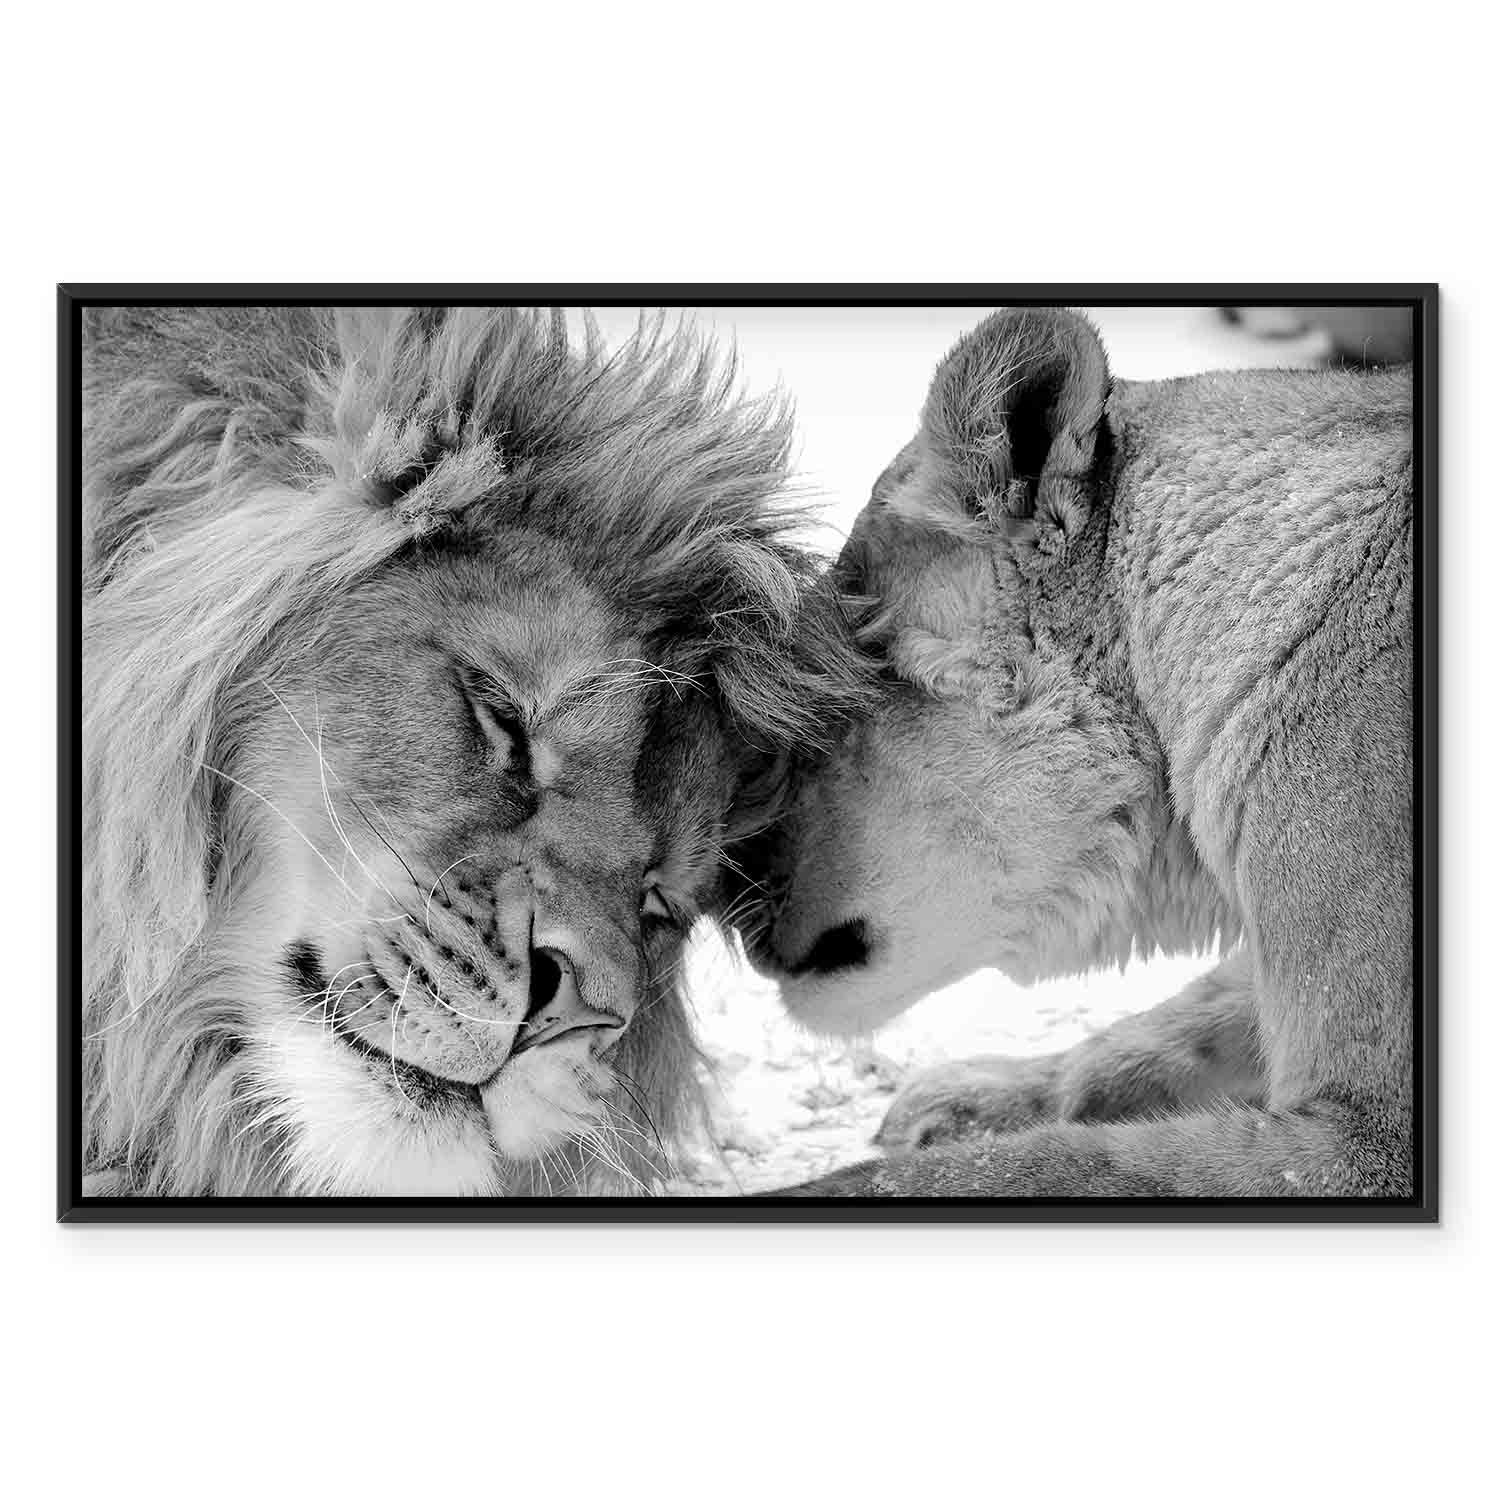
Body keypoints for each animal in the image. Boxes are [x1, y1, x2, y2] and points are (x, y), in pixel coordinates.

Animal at [739, 307, 1414, 1197]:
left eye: (819, 704)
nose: (721, 888)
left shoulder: (1369, 1142)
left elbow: (1044, 1166)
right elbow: (1171, 1028)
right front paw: (971, 1095)